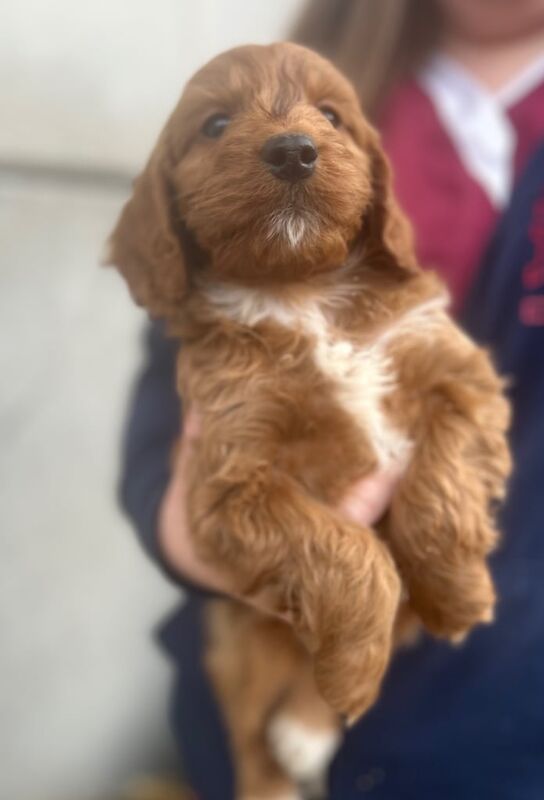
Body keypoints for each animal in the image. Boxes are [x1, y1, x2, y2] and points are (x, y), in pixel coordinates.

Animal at [109, 42, 510, 800]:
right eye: (215, 125)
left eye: (330, 115)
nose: (294, 150)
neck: (304, 291)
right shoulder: (230, 483)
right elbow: (347, 552)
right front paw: (353, 671)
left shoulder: (461, 378)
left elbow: (439, 495)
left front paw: (459, 592)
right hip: (233, 638)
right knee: (247, 728)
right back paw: (287, 754)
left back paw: (309, 726)